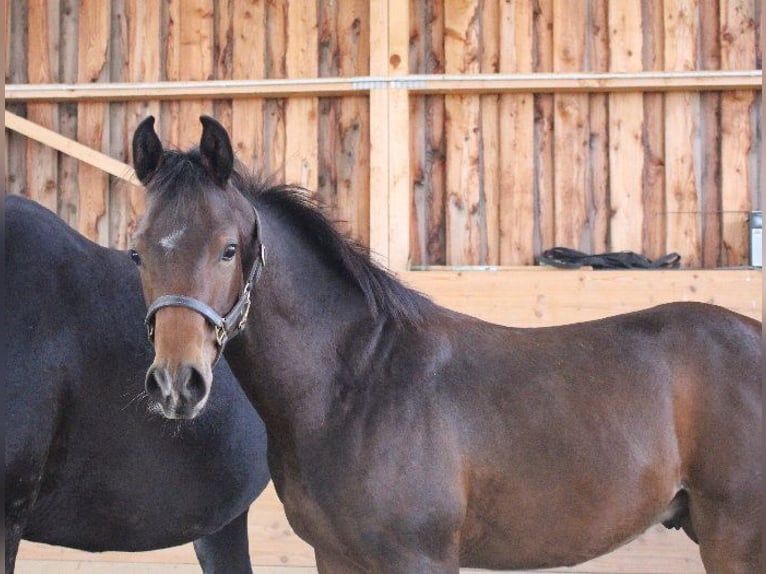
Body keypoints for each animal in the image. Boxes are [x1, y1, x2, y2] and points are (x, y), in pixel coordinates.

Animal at [130, 115, 760, 572]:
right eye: (138, 252)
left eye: (229, 249)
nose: (177, 384)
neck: (356, 387)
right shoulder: (336, 558)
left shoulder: (419, 559)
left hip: (735, 538)